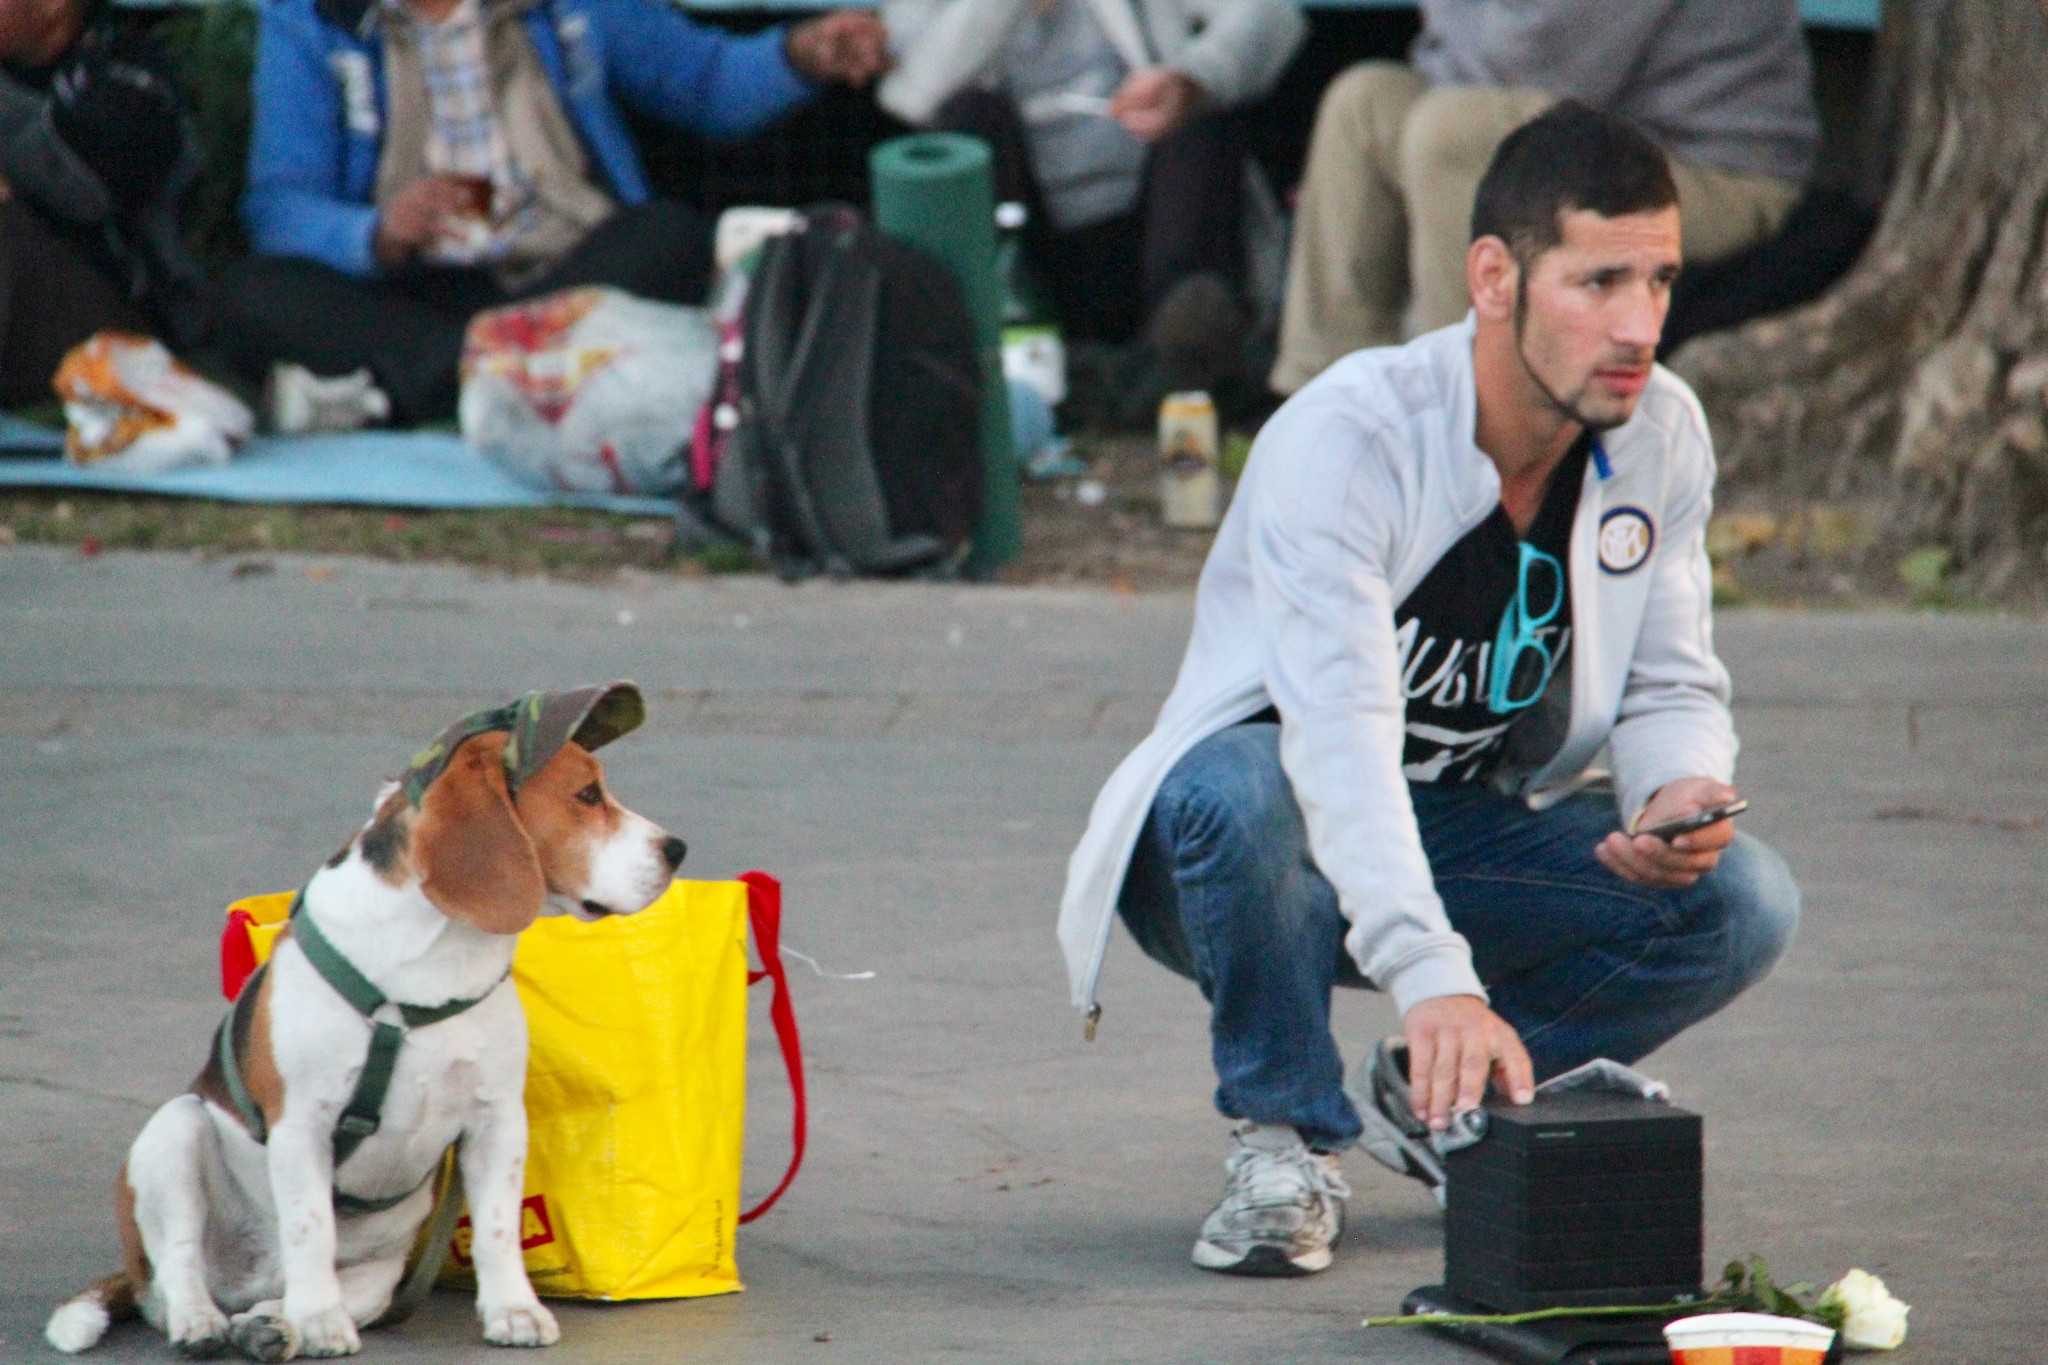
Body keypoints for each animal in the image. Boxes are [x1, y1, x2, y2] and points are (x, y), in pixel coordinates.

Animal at [44, 683, 684, 1358]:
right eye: (587, 795)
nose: (677, 850)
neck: (436, 957)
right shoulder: (302, 1125)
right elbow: (311, 1228)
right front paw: (322, 1321)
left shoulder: (498, 1121)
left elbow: (498, 1229)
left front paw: (513, 1310)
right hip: (176, 1130)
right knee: (178, 1272)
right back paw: (212, 1321)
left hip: (380, 1276)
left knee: (281, 1299)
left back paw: (271, 1324)